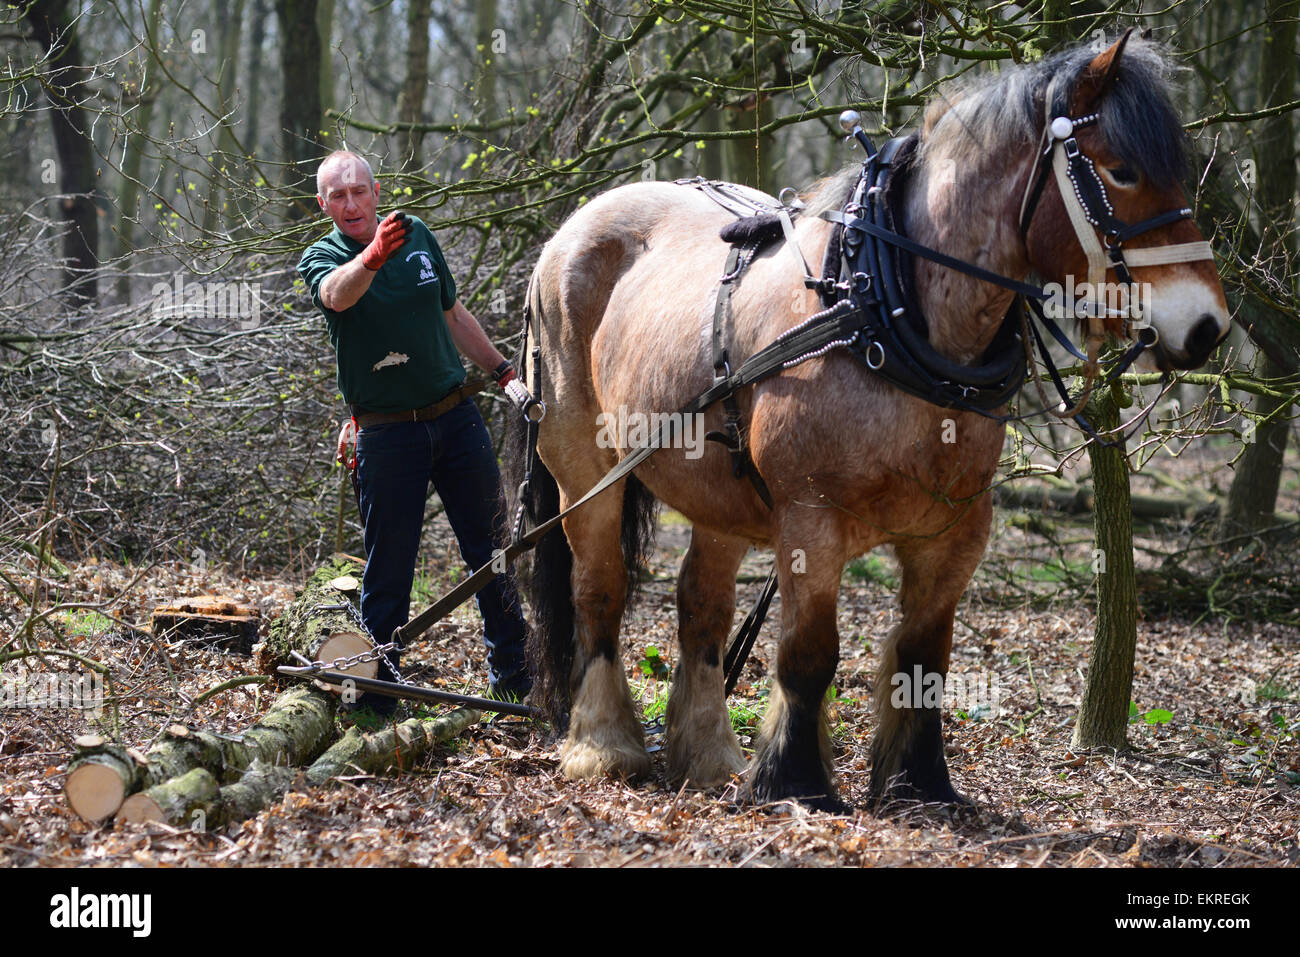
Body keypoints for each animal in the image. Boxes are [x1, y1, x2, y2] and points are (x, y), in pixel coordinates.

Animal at [508, 33, 1228, 810]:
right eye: (1122, 171)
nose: (1207, 325)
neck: (880, 307)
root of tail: (569, 231)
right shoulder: (810, 521)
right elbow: (808, 654)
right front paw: (795, 779)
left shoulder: (955, 533)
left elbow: (923, 658)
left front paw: (920, 781)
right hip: (583, 469)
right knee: (599, 590)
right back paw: (604, 744)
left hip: (716, 493)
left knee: (701, 606)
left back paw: (709, 756)